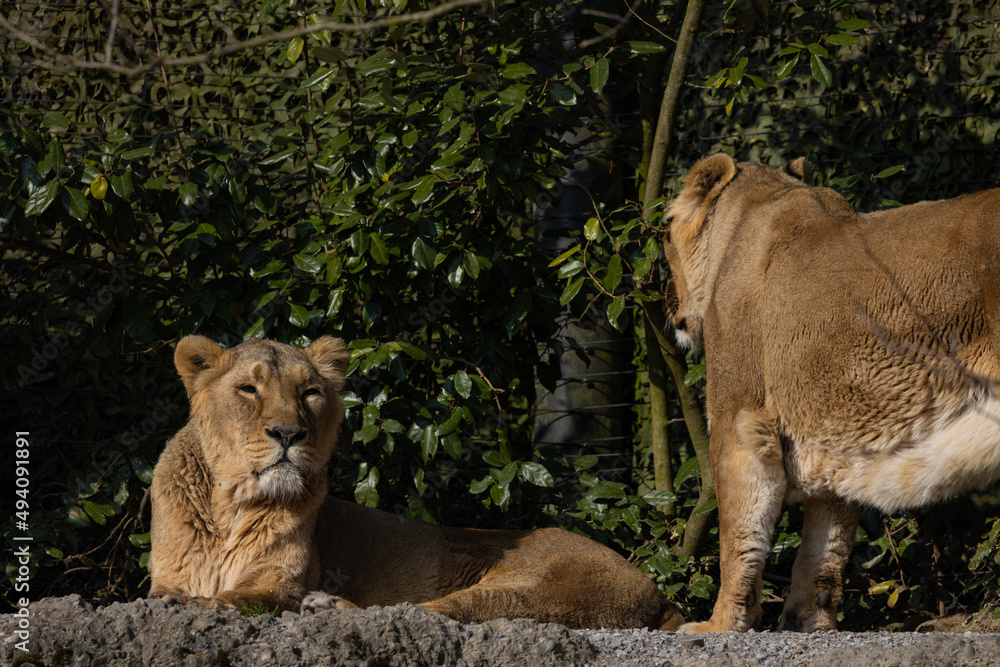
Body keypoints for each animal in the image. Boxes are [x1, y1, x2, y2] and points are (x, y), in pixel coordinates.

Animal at [148, 335, 683, 631]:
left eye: (310, 393)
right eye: (248, 389)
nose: (288, 433)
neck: (231, 505)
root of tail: (656, 593)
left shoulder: (280, 584)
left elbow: (232, 597)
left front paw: (194, 603)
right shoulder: (168, 573)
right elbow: (169, 591)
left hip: (532, 587)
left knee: (424, 612)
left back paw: (327, 607)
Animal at [661, 153, 1000, 633]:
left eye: (664, 238)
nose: (666, 298)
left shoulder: (740, 421)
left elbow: (739, 536)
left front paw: (720, 624)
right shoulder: (836, 433)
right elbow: (826, 550)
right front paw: (809, 623)